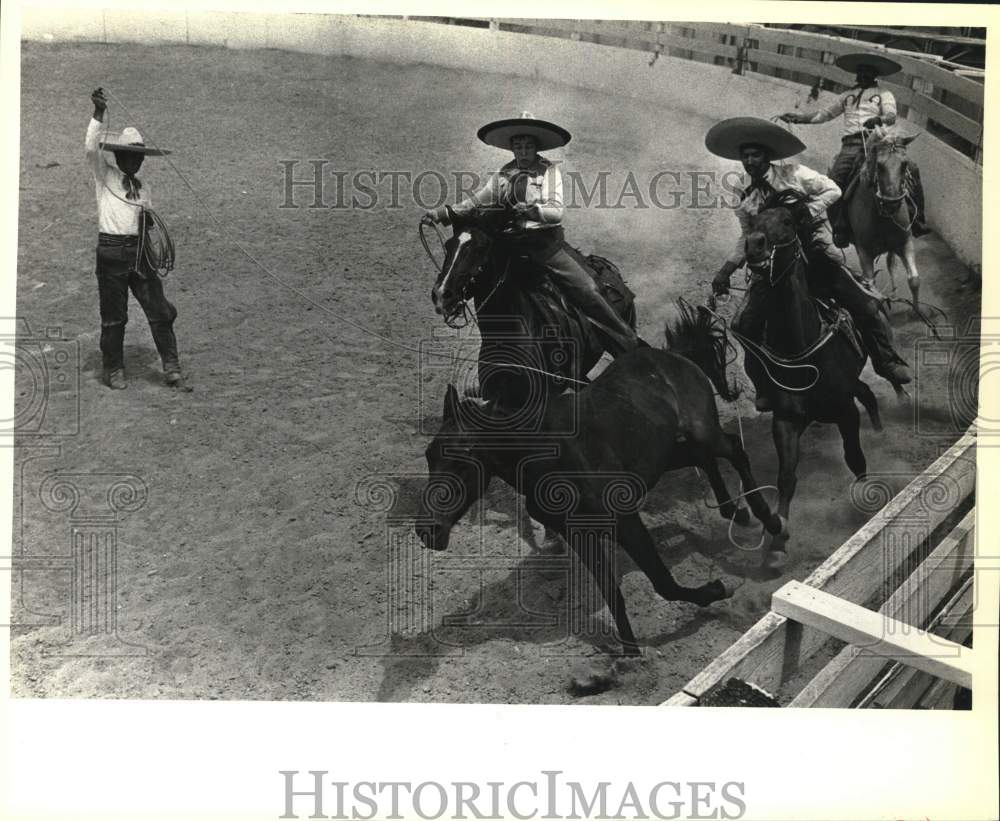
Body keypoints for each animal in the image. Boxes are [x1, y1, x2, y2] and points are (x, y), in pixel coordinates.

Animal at [412, 320, 780, 652]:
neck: (546, 454)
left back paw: (771, 522)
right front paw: (629, 656)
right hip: (668, 452)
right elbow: (611, 592)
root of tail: (671, 356)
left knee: (733, 449)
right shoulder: (580, 534)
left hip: (703, 430)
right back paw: (736, 512)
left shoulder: (626, 520)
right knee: (704, 458)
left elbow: (662, 582)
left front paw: (718, 590)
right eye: (428, 456)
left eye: (462, 459)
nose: (427, 530)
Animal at [736, 189, 884, 568]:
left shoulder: (845, 411)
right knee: (865, 391)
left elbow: (854, 457)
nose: (754, 245)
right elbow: (786, 476)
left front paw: (867, 502)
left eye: (788, 221)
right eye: (754, 221)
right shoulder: (786, 420)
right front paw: (777, 543)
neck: (800, 347)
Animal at [844, 127, 920, 314]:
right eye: (879, 165)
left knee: (891, 262)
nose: (892, 203)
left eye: (904, 164)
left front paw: (918, 311)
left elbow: (914, 279)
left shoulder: (905, 242)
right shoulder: (864, 252)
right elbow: (870, 289)